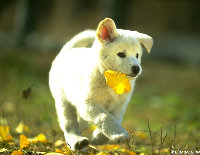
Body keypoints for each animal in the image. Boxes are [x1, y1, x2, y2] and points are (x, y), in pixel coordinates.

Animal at [48, 18, 153, 150]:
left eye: (137, 55)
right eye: (121, 54)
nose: (136, 68)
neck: (111, 80)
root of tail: (66, 52)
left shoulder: (120, 106)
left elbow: (115, 118)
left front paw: (99, 137)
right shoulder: (88, 104)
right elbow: (104, 117)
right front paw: (119, 134)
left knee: (80, 122)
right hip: (64, 102)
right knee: (69, 126)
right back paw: (76, 141)